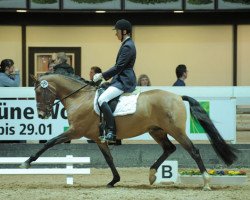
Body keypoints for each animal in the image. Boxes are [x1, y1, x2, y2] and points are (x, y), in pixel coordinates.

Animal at [20, 73, 237, 191]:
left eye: (38, 91)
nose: (42, 114)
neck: (80, 98)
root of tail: (177, 96)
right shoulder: (98, 138)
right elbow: (109, 159)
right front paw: (114, 180)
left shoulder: (75, 131)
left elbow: (50, 142)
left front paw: (26, 163)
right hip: (156, 130)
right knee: (169, 149)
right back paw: (152, 174)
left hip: (175, 130)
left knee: (193, 151)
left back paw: (206, 182)